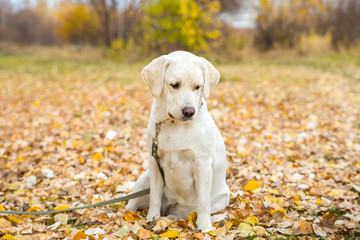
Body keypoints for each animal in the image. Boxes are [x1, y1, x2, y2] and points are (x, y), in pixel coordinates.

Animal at [125, 50, 229, 231]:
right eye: (174, 85)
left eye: (198, 87)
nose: (189, 111)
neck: (173, 125)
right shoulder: (154, 162)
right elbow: (154, 197)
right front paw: (152, 218)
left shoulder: (202, 165)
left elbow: (203, 202)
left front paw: (205, 227)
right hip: (144, 179)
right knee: (131, 204)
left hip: (222, 198)